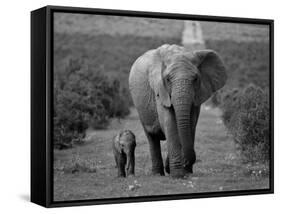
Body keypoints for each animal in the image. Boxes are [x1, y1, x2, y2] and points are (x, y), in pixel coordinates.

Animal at [128, 44, 226, 178]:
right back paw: (157, 174)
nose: (186, 162)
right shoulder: (160, 90)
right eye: (168, 79)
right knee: (152, 137)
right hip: (140, 107)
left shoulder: (197, 95)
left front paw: (186, 172)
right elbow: (170, 123)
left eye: (196, 79)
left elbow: (191, 124)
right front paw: (178, 175)